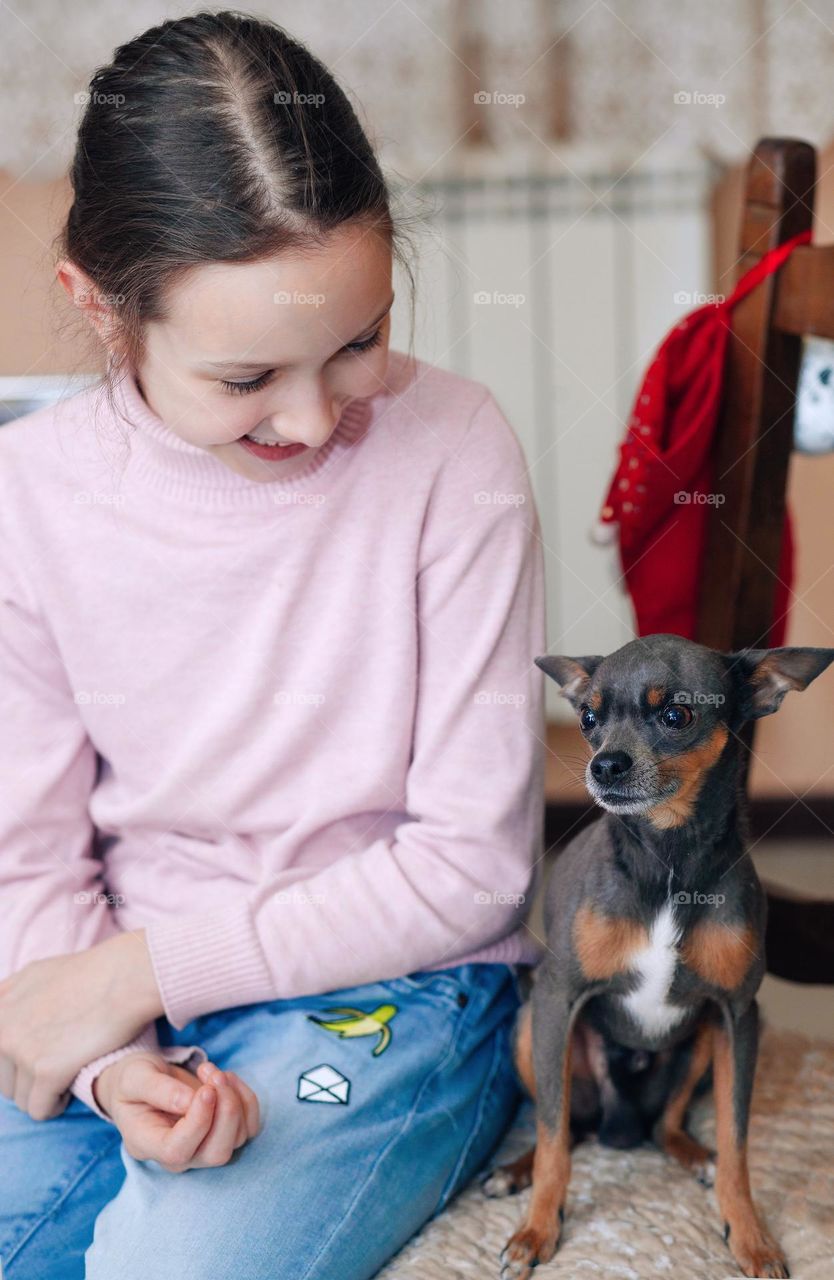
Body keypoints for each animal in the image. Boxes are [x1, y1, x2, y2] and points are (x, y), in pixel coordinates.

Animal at [488, 634, 834, 1280]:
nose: (603, 765)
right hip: (530, 1024)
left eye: (676, 715)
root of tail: (619, 1127)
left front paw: (750, 1235)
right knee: (564, 1124)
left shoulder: (736, 1015)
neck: (668, 857)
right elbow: (551, 1137)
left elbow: (737, 1139)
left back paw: (691, 1154)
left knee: (665, 1122)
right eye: (588, 718)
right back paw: (515, 1171)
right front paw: (537, 1231)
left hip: (700, 1040)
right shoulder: (557, 998)